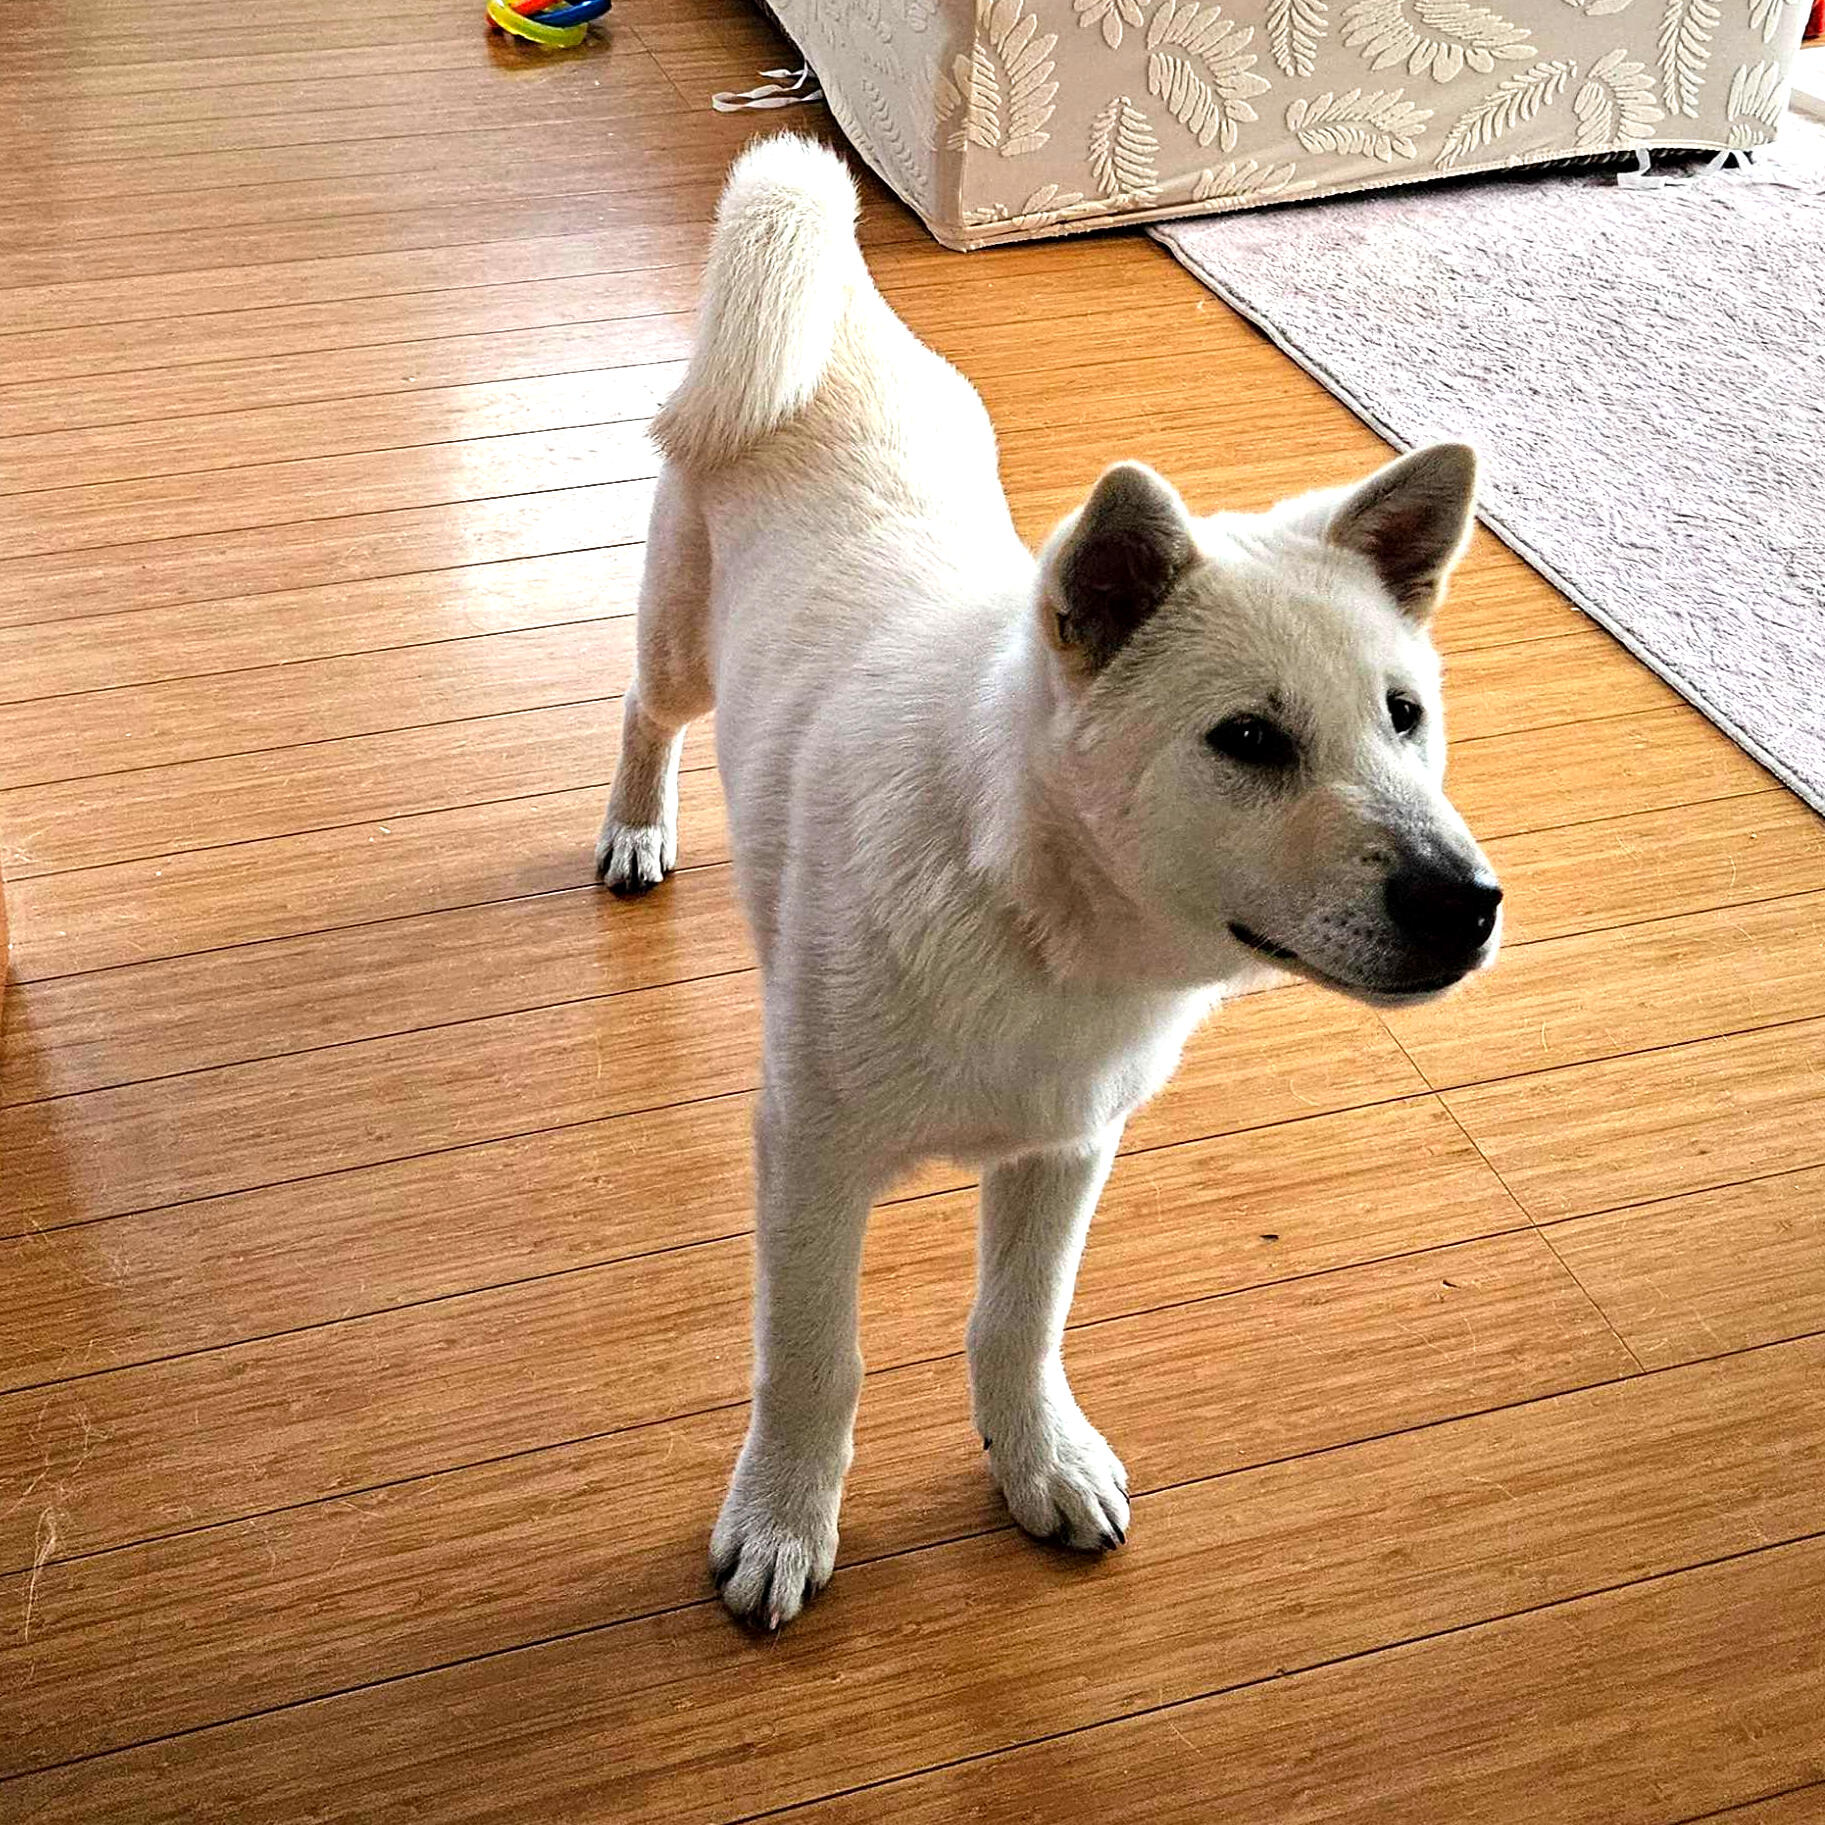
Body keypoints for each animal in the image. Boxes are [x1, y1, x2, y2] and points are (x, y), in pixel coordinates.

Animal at [596, 134, 1502, 1631]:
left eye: (1404, 717)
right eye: (1248, 741)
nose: (1466, 903)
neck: (1035, 924)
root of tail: (840, 316)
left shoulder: (1068, 1148)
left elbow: (1018, 1324)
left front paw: (1037, 1464)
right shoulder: (806, 1154)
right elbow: (814, 1359)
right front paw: (782, 1519)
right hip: (677, 640)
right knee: (640, 711)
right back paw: (632, 828)